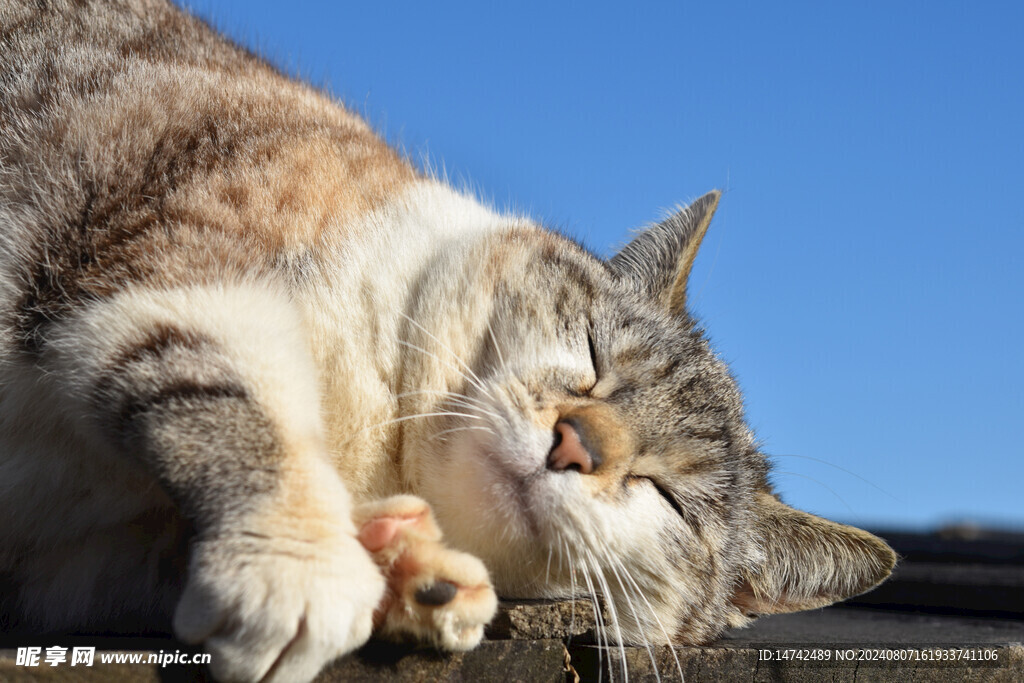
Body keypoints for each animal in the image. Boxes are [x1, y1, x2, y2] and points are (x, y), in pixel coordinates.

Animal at [0, 1, 897, 683]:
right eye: (593, 357)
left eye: (668, 496)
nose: (573, 444)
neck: (373, 451)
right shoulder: (183, 261)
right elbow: (237, 402)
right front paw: (305, 565)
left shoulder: (80, 565)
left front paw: (410, 572)